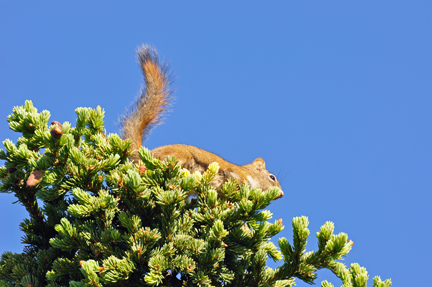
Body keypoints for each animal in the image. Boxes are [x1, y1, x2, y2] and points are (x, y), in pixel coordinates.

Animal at [120, 45, 286, 200]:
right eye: (272, 177)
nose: (281, 194)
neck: (250, 174)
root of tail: (144, 154)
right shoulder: (236, 173)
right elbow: (235, 177)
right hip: (179, 156)